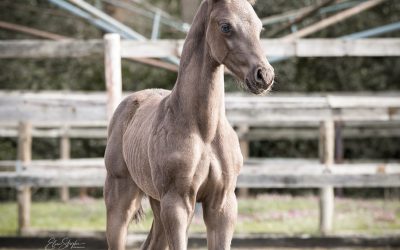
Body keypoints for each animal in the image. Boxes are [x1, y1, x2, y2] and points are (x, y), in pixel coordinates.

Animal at [104, 0, 276, 248]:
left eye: (260, 27)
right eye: (225, 26)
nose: (264, 76)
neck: (205, 131)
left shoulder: (222, 203)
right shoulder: (178, 202)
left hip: (157, 203)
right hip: (121, 196)